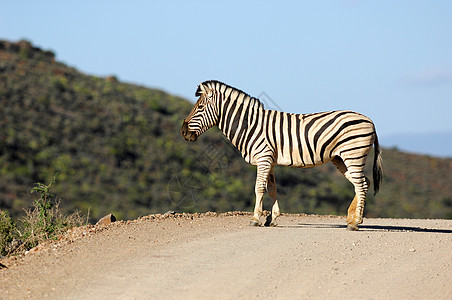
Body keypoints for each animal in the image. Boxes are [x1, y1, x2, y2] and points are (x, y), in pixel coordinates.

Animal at [180, 79, 382, 230]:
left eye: (200, 107)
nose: (183, 132)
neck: (249, 125)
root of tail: (370, 120)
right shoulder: (269, 160)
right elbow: (272, 188)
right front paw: (272, 219)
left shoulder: (263, 157)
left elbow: (259, 188)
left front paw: (255, 219)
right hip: (340, 158)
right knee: (363, 183)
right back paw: (352, 218)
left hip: (353, 154)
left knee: (361, 184)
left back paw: (355, 223)